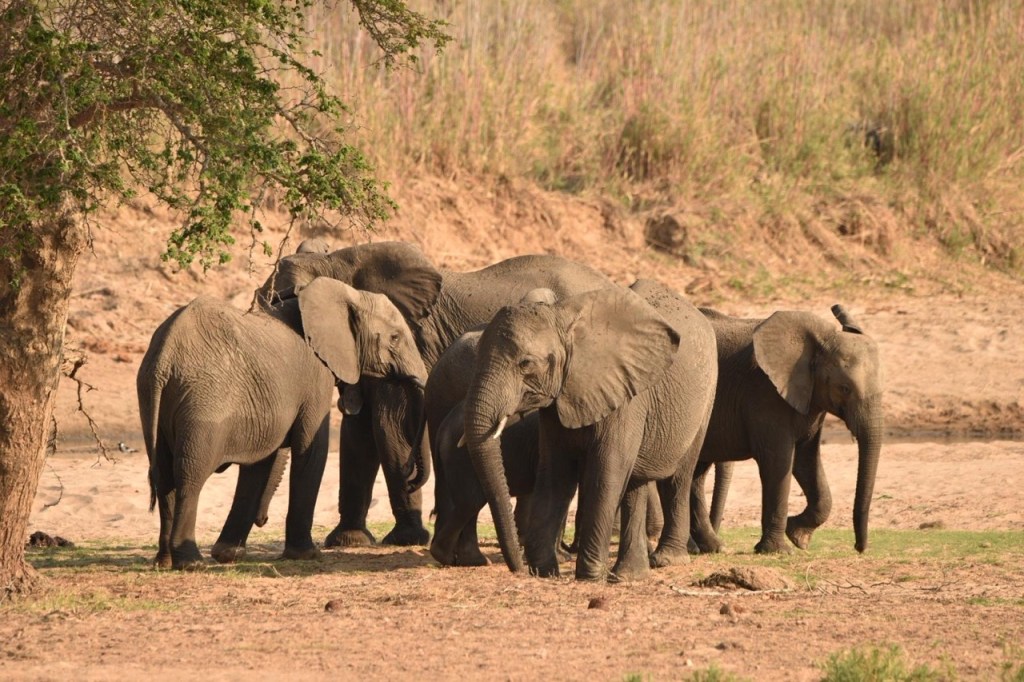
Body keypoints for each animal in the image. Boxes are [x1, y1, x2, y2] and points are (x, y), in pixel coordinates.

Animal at [136, 277, 427, 569]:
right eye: (395, 337)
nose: (410, 476)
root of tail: (164, 356)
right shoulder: (315, 376)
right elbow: (311, 451)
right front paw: (306, 555)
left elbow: (260, 463)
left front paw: (228, 554)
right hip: (203, 402)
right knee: (189, 476)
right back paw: (191, 562)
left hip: (152, 399)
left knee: (164, 477)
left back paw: (164, 562)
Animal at [224, 242, 616, 550]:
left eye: (286, 303)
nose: (262, 520)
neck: (336, 262)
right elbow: (359, 432)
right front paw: (349, 541)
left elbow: (389, 423)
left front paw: (405, 539)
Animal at [462, 278, 718, 581]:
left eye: (526, 364)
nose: (519, 569)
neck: (562, 318)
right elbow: (555, 472)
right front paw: (545, 571)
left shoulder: (626, 396)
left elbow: (607, 472)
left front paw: (589, 576)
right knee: (636, 483)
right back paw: (629, 575)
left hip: (705, 396)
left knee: (677, 477)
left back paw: (666, 560)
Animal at [687, 304, 883, 556]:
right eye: (844, 388)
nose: (859, 547)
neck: (821, 340)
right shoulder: (765, 393)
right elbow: (778, 461)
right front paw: (778, 551)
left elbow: (806, 460)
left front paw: (798, 537)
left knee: (695, 474)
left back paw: (713, 547)